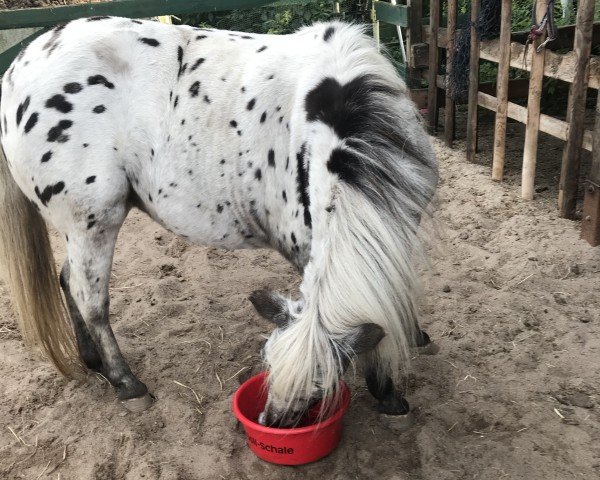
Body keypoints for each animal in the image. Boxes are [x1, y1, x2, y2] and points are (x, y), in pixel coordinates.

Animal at [0, 16, 436, 426]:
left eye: (318, 390)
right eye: (268, 366)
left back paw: (93, 362)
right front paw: (388, 393)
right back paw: (127, 384)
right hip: (91, 220)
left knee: (67, 281)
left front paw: (413, 338)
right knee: (89, 298)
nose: (270, 421)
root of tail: (18, 69)